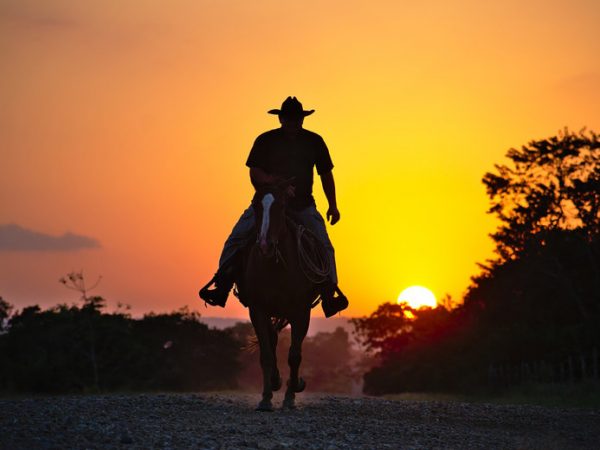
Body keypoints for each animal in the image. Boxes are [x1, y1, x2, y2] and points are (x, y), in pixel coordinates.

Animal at [237, 183, 326, 412]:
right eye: (256, 206)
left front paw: (292, 393)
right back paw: (275, 381)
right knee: (272, 340)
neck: (276, 266)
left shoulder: (301, 312)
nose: (265, 245)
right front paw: (266, 398)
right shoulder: (258, 310)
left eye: (282, 206)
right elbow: (266, 354)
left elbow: (294, 355)